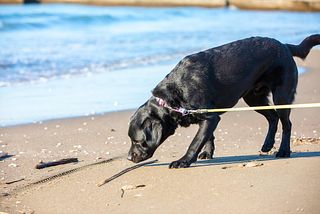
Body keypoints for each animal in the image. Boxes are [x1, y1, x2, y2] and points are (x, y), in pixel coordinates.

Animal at [127, 34, 320, 169]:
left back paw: (283, 151)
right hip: (254, 98)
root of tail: (285, 46)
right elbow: (207, 137)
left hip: (282, 96)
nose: (129, 157)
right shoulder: (209, 118)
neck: (175, 93)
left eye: (137, 141)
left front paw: (184, 161)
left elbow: (195, 142)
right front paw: (207, 152)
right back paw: (267, 145)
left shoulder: (209, 117)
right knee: (272, 118)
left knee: (286, 123)